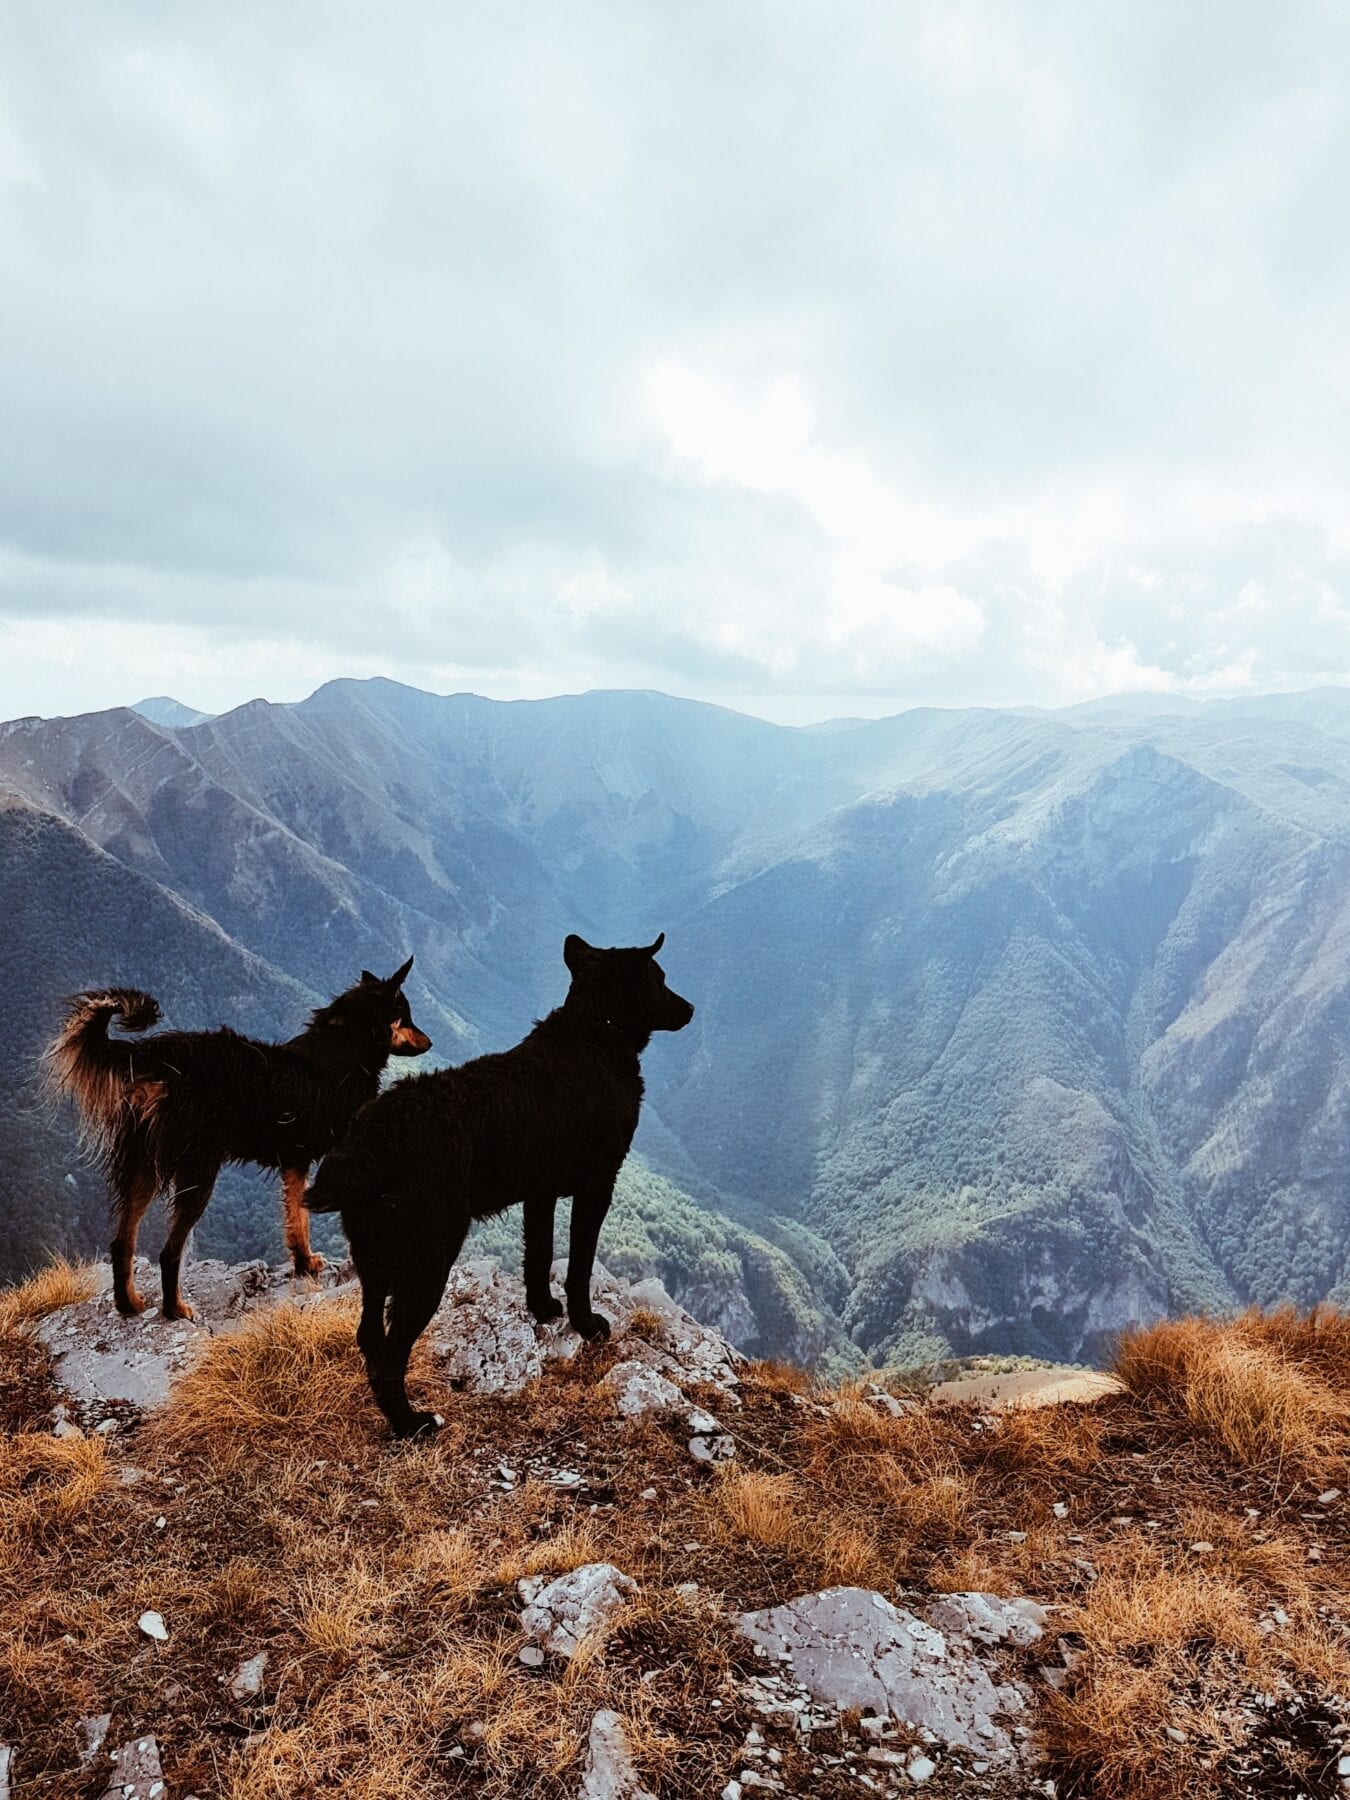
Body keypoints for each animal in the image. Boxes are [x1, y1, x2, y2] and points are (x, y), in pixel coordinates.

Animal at [48, 957, 428, 1324]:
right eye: (407, 1016)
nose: (431, 1043)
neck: (348, 1040)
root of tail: (158, 1057)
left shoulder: (295, 1160)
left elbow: (297, 1219)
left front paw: (305, 1264)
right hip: (197, 1170)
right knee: (170, 1251)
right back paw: (175, 1309)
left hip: (142, 1165)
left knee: (122, 1241)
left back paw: (128, 1303)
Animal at [307, 936, 698, 1440]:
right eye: (660, 978)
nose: (689, 1008)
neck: (594, 1027)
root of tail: (372, 1137)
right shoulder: (597, 1185)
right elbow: (579, 1266)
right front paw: (586, 1324)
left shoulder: (540, 1192)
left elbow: (539, 1255)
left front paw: (542, 1308)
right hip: (428, 1258)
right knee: (388, 1360)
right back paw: (413, 1423)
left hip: (373, 1256)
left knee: (369, 1336)